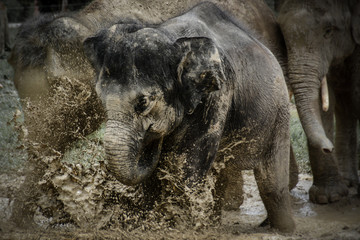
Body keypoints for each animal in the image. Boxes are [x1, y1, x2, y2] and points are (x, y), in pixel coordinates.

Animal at [278, 0, 358, 203]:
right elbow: (327, 103)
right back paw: (348, 182)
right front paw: (328, 197)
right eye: (282, 35)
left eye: (329, 31)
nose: (328, 147)